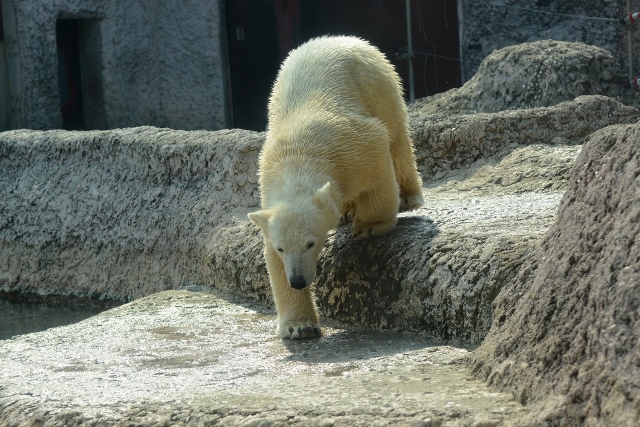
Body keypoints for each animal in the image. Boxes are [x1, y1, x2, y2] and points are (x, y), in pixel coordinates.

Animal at [250, 35, 424, 340]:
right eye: (283, 248)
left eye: (310, 243)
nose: (298, 280)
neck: (296, 159)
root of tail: (338, 38)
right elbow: (271, 261)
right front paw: (299, 327)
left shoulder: (349, 146)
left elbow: (377, 152)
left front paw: (369, 225)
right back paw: (345, 211)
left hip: (376, 81)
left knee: (397, 134)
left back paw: (409, 196)